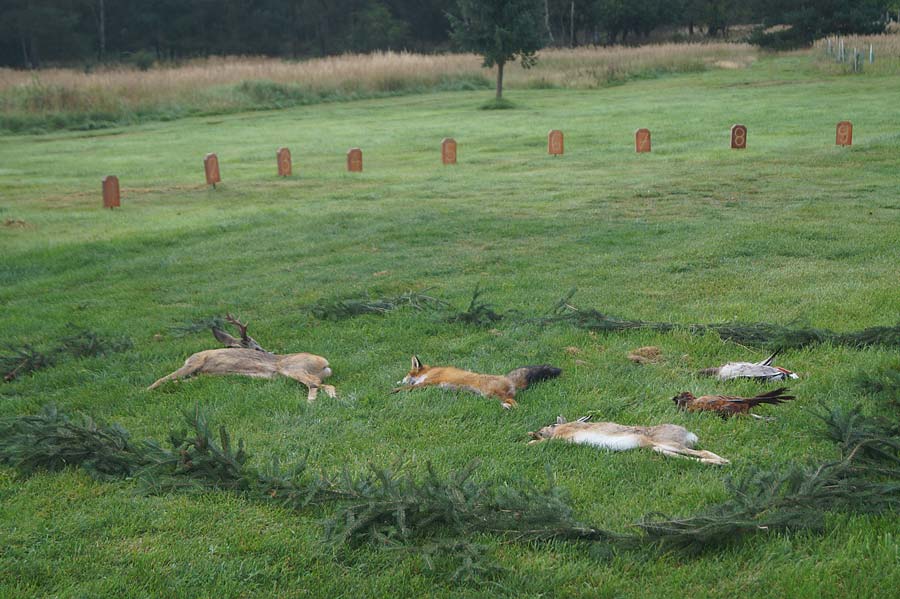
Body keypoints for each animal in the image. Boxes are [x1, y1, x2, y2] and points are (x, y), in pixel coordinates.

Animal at [392, 355, 562, 409]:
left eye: (406, 374)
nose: (401, 378)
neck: (430, 371)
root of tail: (505, 377)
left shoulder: (428, 382)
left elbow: (406, 388)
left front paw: (392, 390)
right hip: (489, 396)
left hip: (493, 393)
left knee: (515, 402)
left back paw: (511, 408)